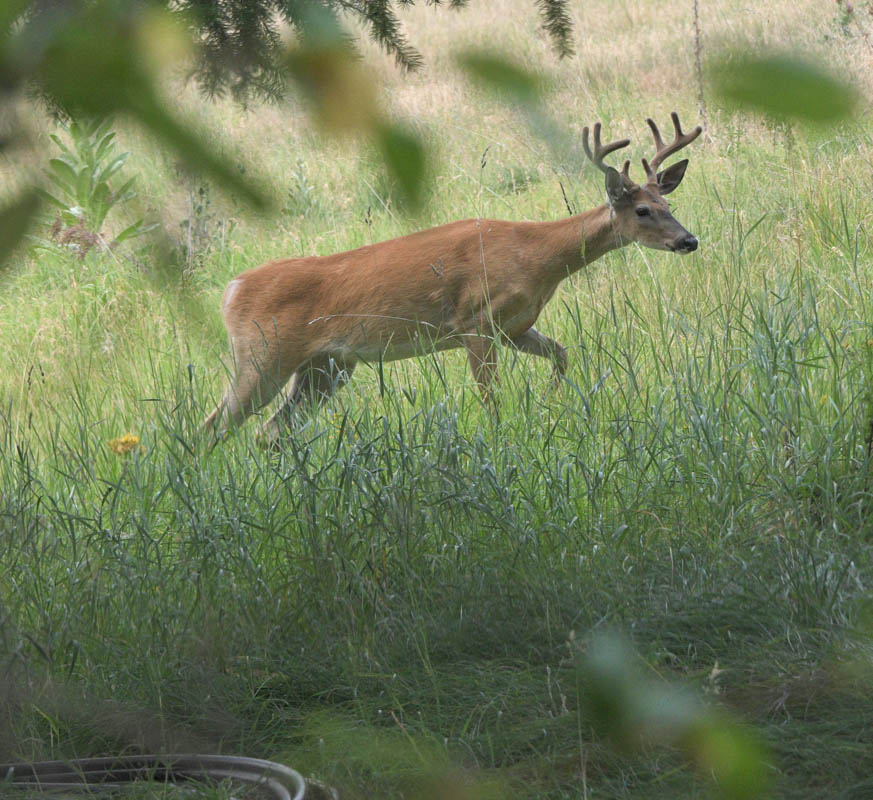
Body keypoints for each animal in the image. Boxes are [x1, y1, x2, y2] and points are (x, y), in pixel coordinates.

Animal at [202, 112, 701, 447]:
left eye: (669, 205)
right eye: (643, 210)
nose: (689, 240)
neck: (535, 258)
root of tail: (230, 291)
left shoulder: (515, 327)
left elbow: (562, 355)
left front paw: (552, 401)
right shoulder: (474, 322)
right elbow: (491, 400)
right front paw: (502, 442)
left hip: (326, 366)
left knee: (269, 430)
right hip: (264, 353)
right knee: (214, 425)